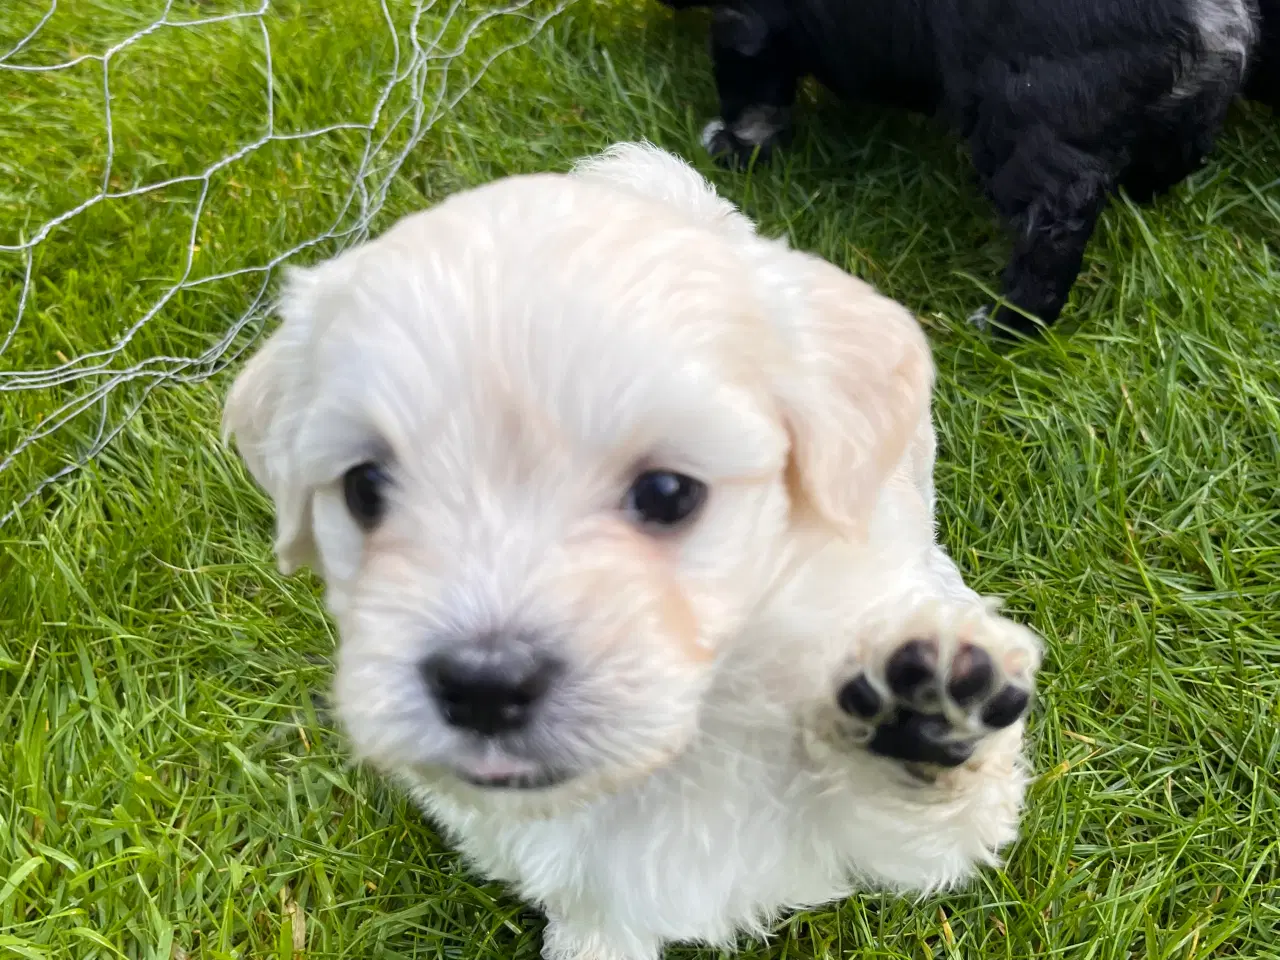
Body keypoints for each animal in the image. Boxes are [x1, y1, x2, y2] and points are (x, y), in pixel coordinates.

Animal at [222, 142, 1039, 960]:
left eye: (669, 494)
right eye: (366, 489)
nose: (483, 683)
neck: (685, 738)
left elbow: (924, 824)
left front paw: (922, 706)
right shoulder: (575, 871)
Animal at [655, 0, 1274, 337]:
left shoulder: (751, 25)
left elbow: (751, 92)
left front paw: (731, 147)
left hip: (1021, 113)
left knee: (1056, 221)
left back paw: (1005, 324)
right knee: (1177, 154)